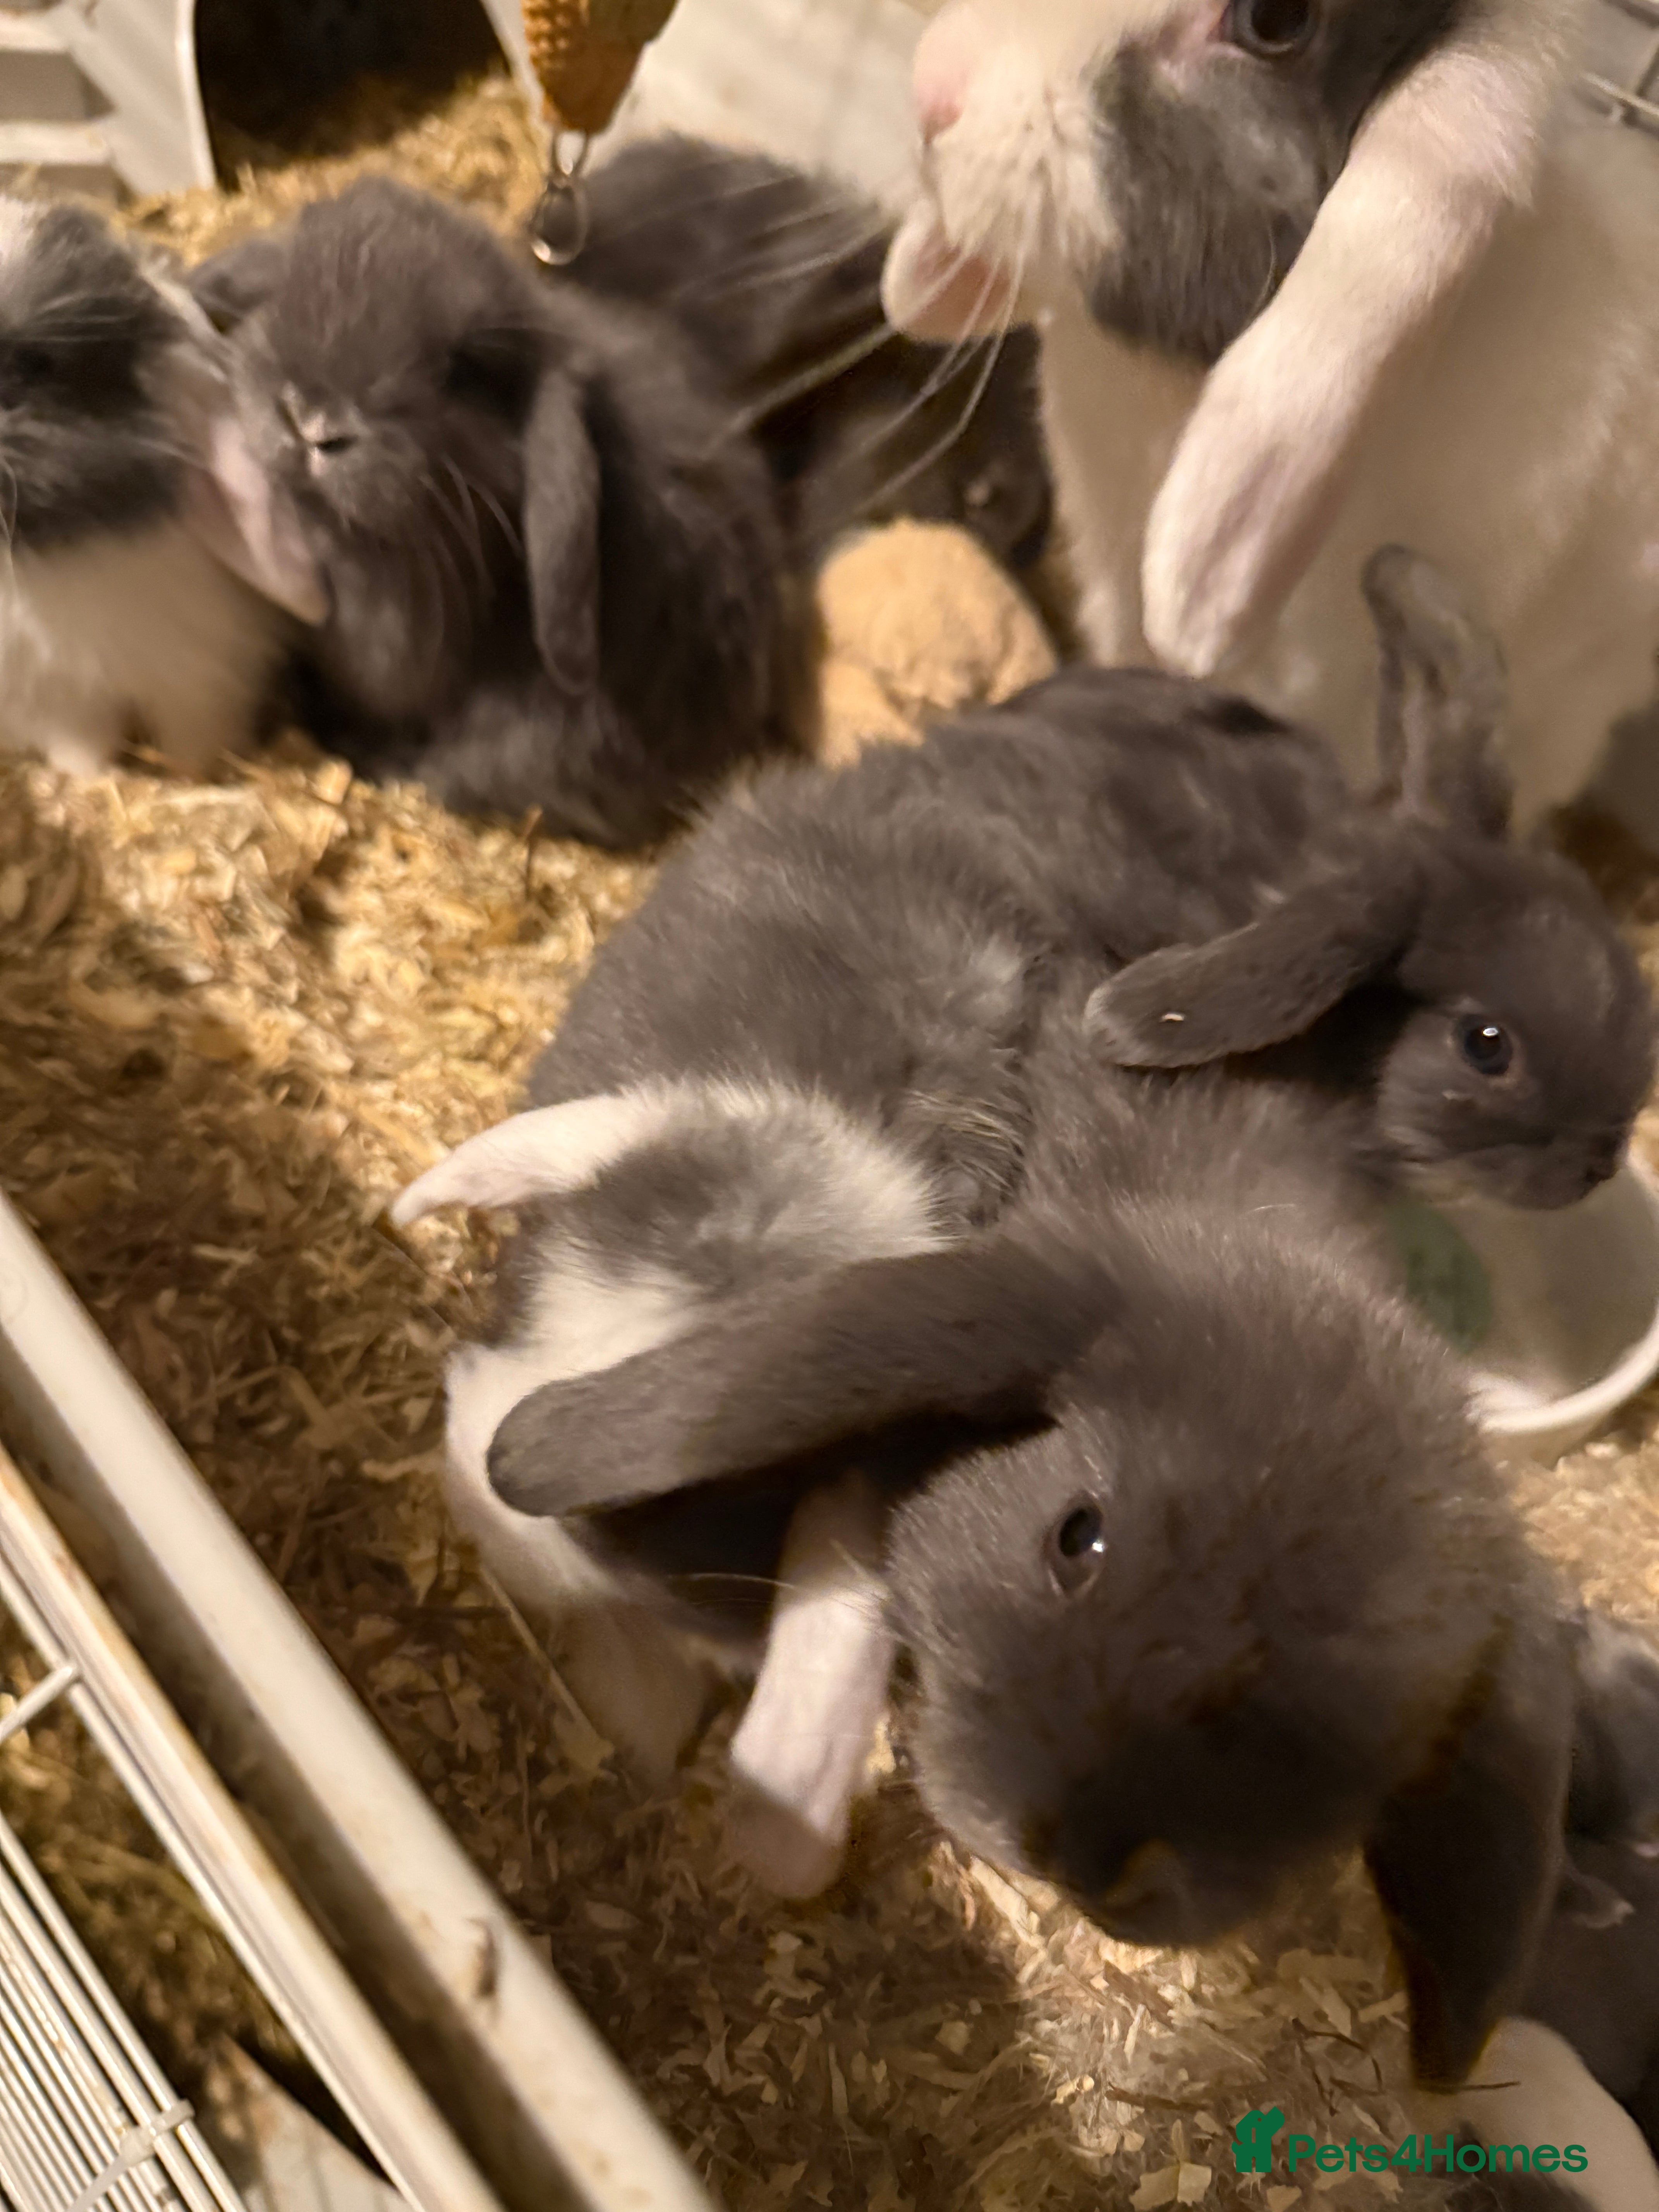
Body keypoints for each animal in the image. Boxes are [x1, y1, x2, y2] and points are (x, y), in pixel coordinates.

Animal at [0, 196, 287, 778]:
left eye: (30, 365)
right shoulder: (56, 697)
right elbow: (81, 747)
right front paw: (90, 782)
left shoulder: (202, 671)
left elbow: (196, 739)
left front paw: (200, 777)